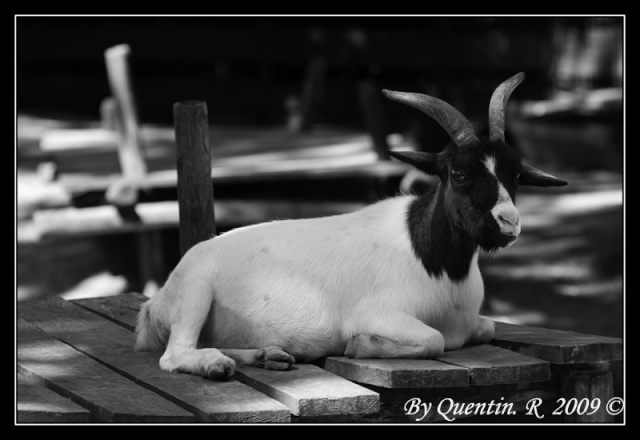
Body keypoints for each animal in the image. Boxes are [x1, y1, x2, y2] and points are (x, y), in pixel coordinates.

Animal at [134, 71, 564, 378]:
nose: (509, 222)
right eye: (458, 174)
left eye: (516, 174)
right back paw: (216, 365)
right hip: (196, 291)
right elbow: (435, 339)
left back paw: (268, 354)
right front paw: (360, 346)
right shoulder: (381, 314)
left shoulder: (473, 322)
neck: (435, 262)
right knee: (175, 354)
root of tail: (156, 303)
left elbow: (487, 327)